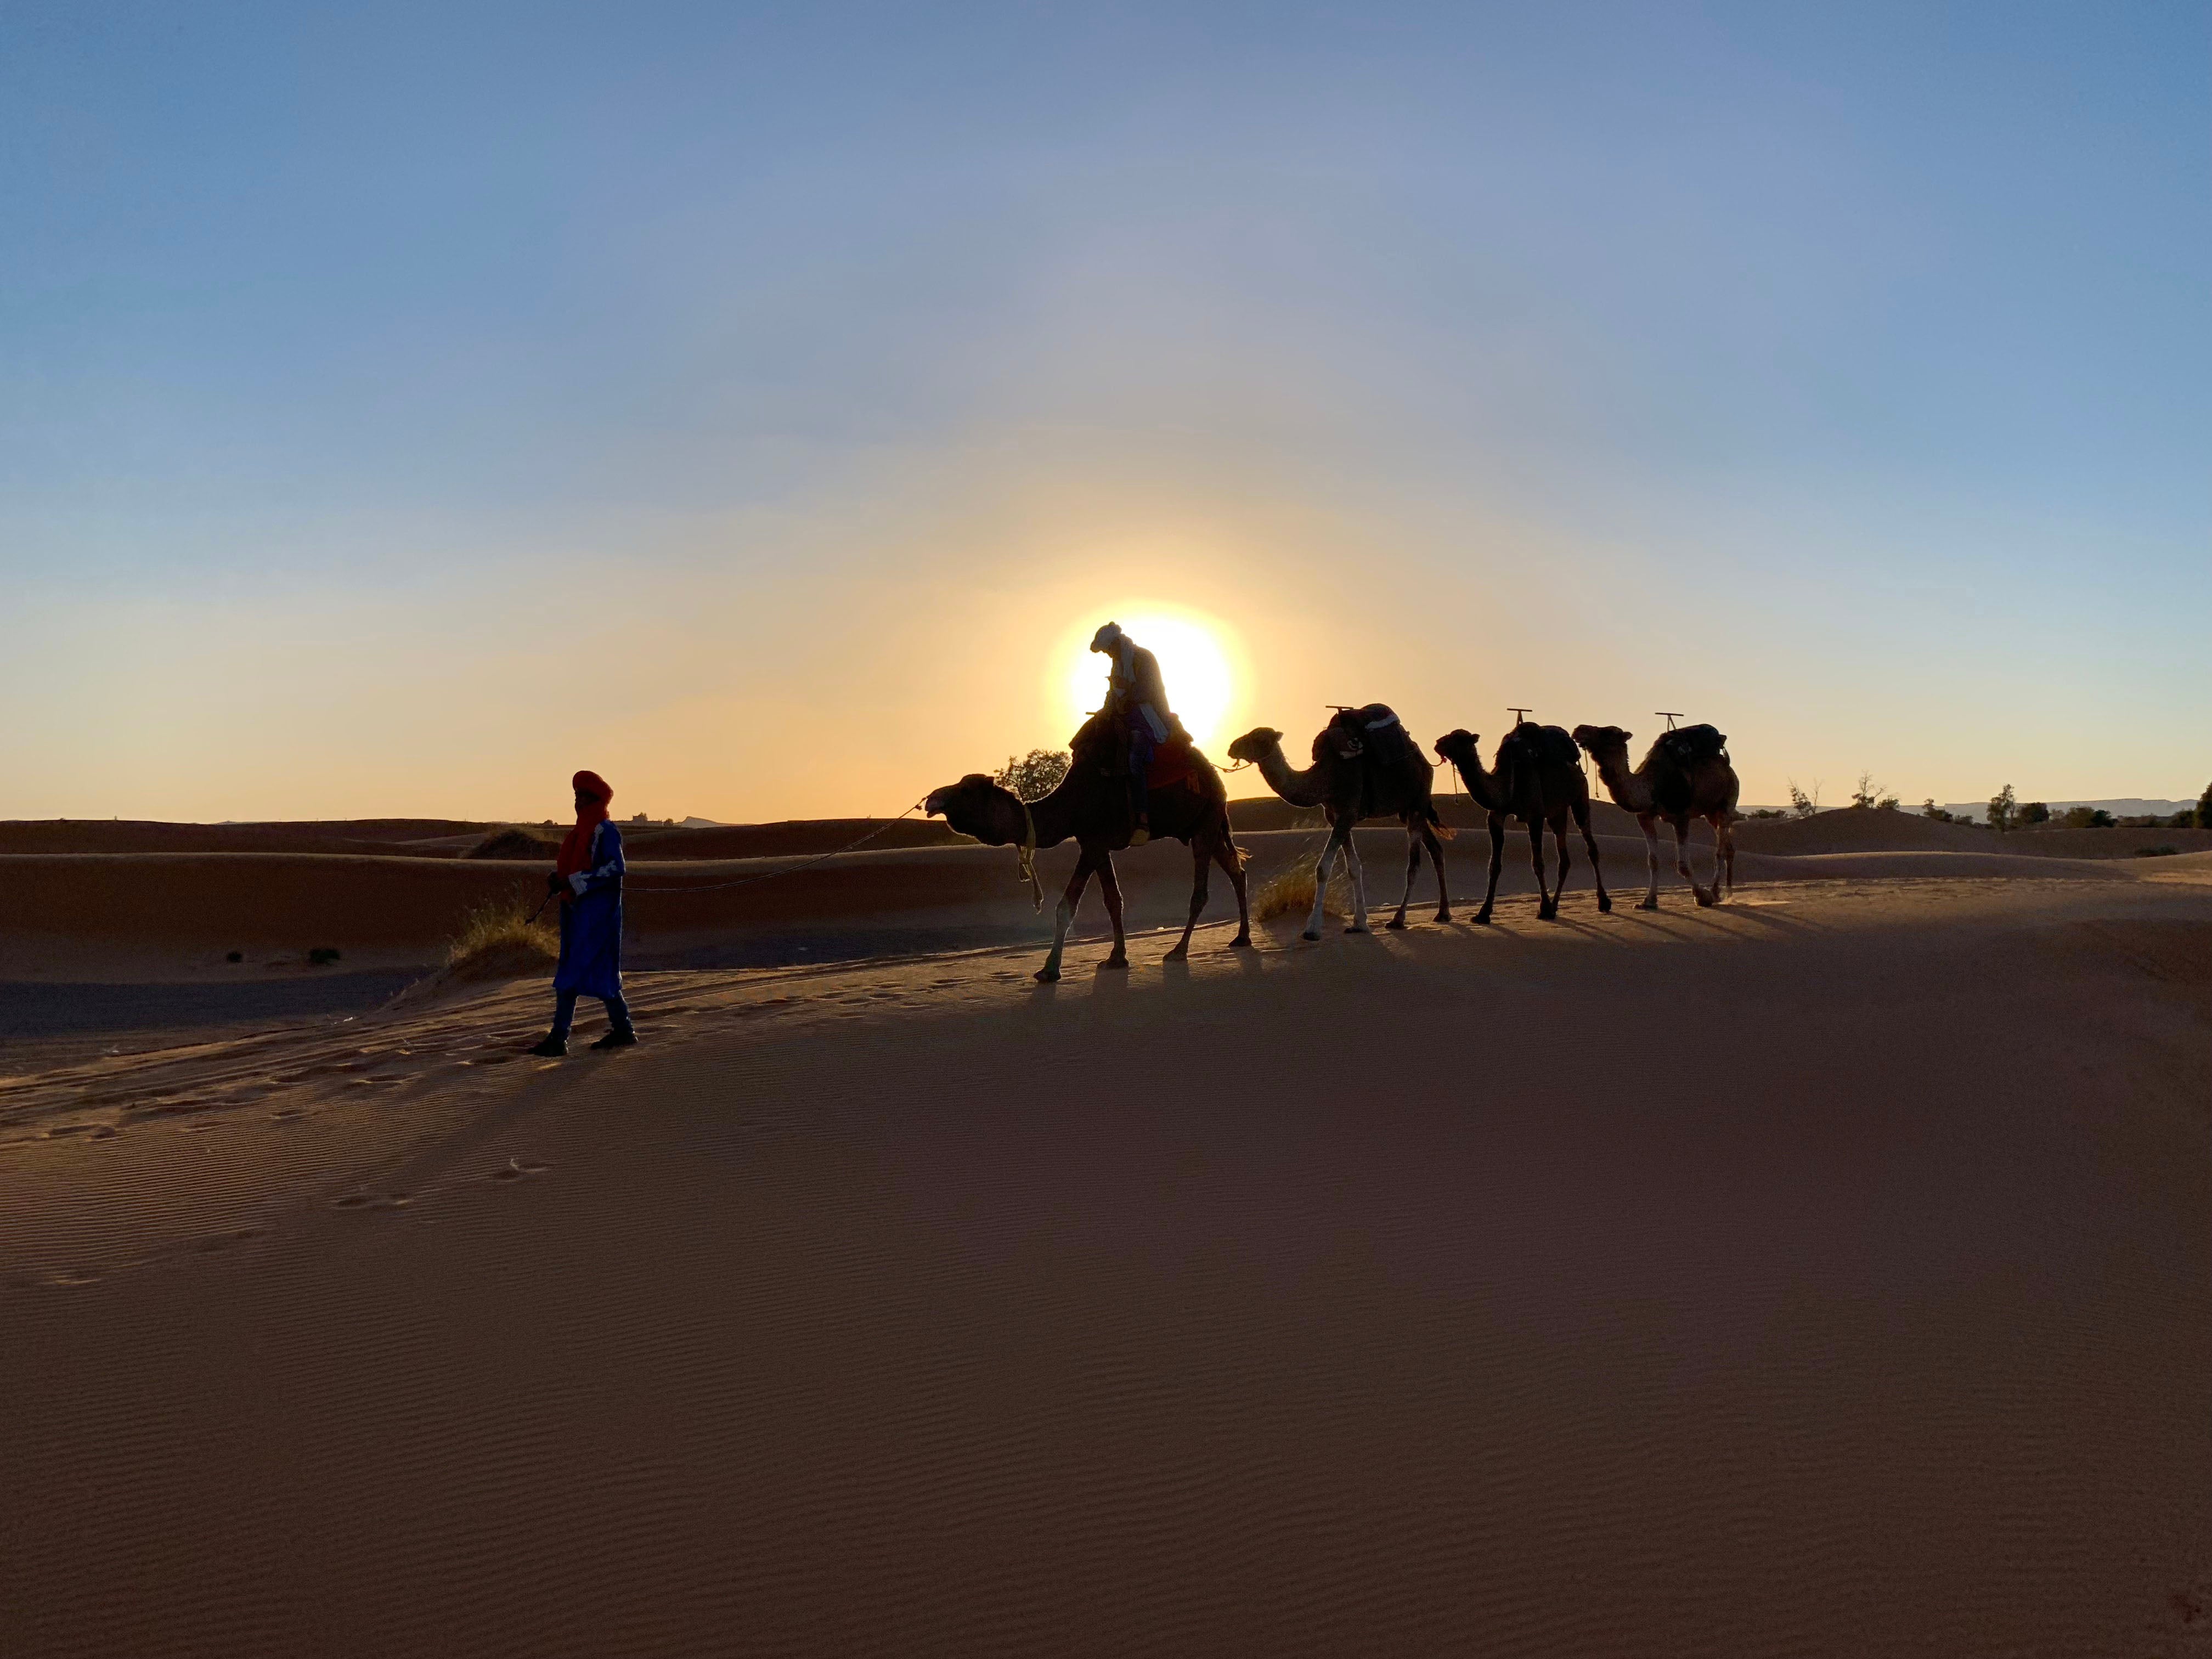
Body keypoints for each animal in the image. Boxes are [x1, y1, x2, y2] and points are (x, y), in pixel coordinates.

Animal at [924, 708, 1256, 982]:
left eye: (965, 791)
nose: (932, 799)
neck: (1071, 803)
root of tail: (1214, 775)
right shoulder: (1096, 844)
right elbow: (1113, 900)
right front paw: (1116, 958)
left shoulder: (1093, 844)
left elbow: (1067, 905)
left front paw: (1049, 970)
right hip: (1205, 825)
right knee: (1236, 872)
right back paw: (1242, 937)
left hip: (1207, 821)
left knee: (1202, 890)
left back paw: (1179, 950)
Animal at [1229, 699, 1451, 938]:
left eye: (1259, 738)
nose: (1232, 748)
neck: (1326, 777)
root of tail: (1423, 759)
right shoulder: (1335, 815)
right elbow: (1354, 867)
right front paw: (1359, 923)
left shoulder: (1348, 811)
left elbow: (1323, 868)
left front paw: (1312, 928)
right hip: (1408, 809)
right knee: (1436, 849)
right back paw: (1443, 913)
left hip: (1419, 799)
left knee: (1415, 863)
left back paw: (1398, 919)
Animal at [1433, 725, 1610, 929]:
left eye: (1459, 739)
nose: (1438, 744)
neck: (1508, 783)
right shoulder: (1496, 816)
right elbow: (1494, 865)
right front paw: (1483, 914)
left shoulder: (1535, 816)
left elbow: (1538, 863)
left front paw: (1543, 909)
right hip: (1557, 812)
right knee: (1564, 858)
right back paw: (1555, 907)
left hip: (1580, 794)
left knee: (1590, 845)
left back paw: (1603, 902)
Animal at [1575, 725, 1743, 911]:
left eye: (1608, 732)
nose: (1579, 730)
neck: (1651, 787)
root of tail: (1727, 765)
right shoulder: (1645, 817)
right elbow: (1653, 860)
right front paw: (1648, 901)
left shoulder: (1681, 817)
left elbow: (1682, 864)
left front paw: (1702, 897)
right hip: (1710, 813)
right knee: (1729, 848)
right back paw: (1728, 894)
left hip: (1728, 800)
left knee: (1720, 850)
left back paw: (1715, 892)